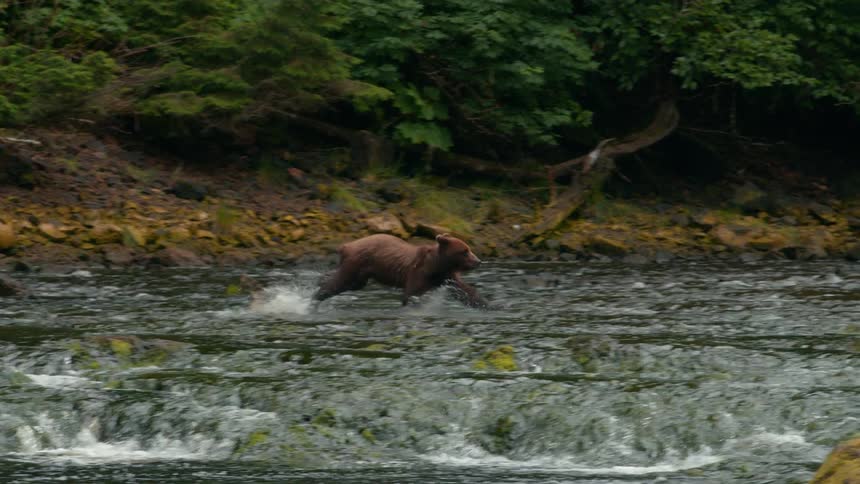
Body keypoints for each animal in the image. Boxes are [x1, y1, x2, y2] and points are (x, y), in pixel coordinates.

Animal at [313, 233, 488, 308]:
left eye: (468, 249)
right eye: (464, 251)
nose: (478, 261)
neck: (437, 266)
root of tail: (346, 245)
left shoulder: (447, 277)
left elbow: (466, 292)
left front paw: (486, 305)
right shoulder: (419, 272)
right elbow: (411, 294)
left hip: (361, 275)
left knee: (346, 283)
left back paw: (320, 283)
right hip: (357, 263)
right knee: (339, 281)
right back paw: (316, 294)